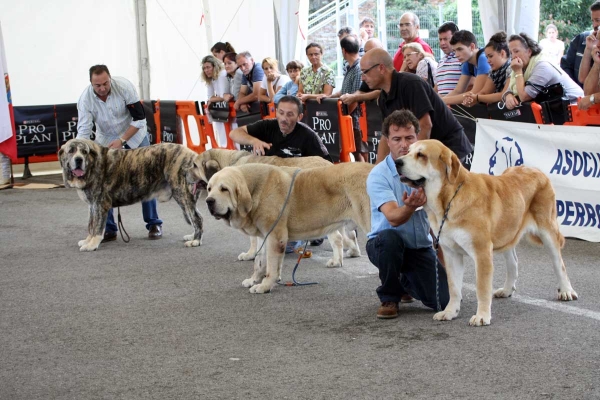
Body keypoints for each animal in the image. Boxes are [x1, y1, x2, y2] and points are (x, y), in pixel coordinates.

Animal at [59, 138, 204, 250]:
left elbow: (98, 227)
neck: (92, 164)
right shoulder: (92, 206)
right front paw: (87, 240)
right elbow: (91, 225)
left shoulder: (100, 204)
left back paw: (195, 241)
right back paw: (192, 236)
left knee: (197, 218)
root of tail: (192, 154)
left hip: (182, 193)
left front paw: (92, 245)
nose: (79, 159)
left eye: (84, 152)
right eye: (71, 151)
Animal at [188, 148, 364, 266]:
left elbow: (253, 240)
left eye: (194, 165)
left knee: (338, 239)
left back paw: (336, 261)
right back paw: (353, 252)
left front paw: (250, 254)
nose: (184, 173)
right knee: (350, 236)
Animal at [206, 163, 372, 294]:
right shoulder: (263, 236)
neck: (254, 190)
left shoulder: (275, 236)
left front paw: (265, 286)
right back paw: (339, 260)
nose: (208, 201)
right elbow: (260, 261)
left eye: (224, 189)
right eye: (209, 188)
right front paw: (254, 280)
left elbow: (271, 265)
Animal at [394, 139, 576, 326]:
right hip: (507, 232)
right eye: (408, 151)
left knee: (559, 263)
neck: (450, 198)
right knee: (513, 262)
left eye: (421, 155)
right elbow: (454, 288)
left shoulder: (481, 252)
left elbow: (481, 287)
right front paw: (450, 312)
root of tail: (536, 170)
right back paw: (507, 289)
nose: (397, 162)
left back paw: (566, 291)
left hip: (547, 231)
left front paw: (481, 316)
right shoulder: (451, 254)